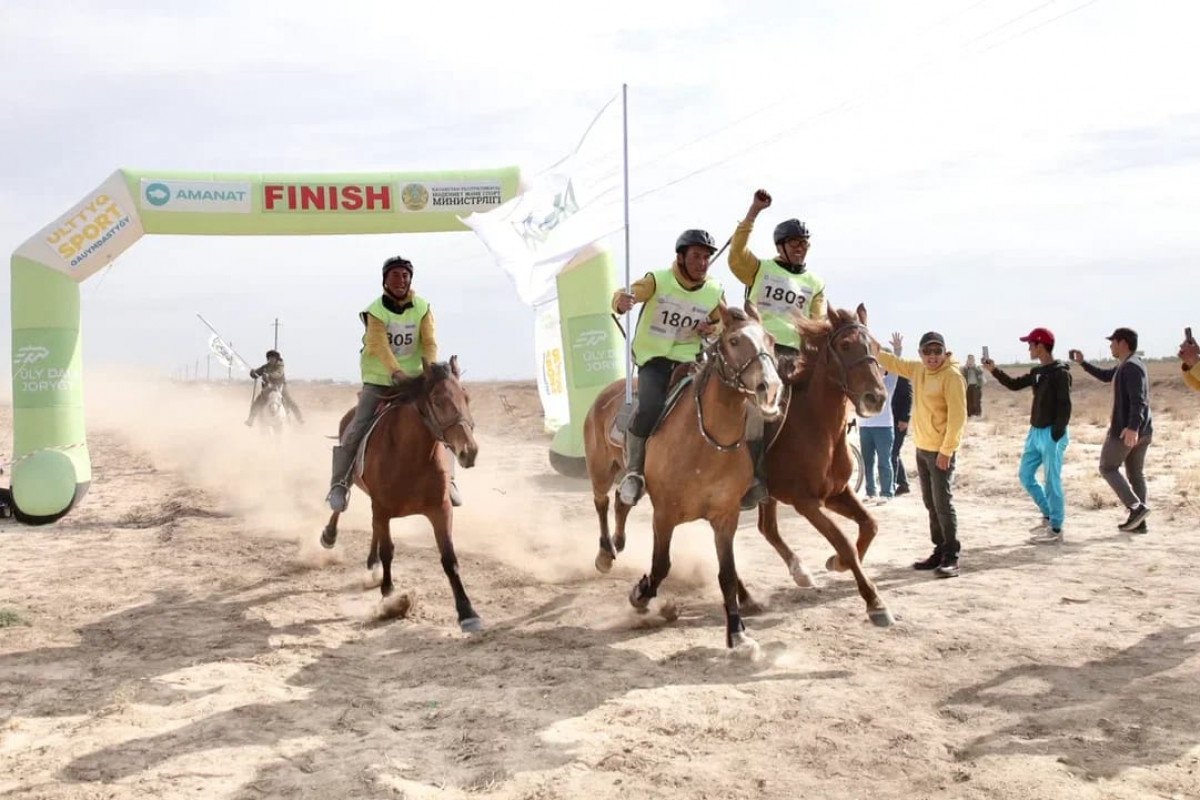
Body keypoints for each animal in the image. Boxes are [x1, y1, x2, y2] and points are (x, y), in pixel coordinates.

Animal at [324, 357, 487, 633]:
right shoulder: (382, 507)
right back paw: (330, 534)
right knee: (341, 503)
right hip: (355, 481)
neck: (411, 456)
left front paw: (467, 613)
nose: (470, 451)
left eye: (466, 397)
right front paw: (389, 595)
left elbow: (449, 559)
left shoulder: (440, 510)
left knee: (374, 528)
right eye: (437, 400)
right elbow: (388, 550)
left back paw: (372, 564)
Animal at [583, 304, 787, 652]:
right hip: (599, 469)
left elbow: (727, 574)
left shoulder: (725, 516)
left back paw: (619, 542)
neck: (707, 438)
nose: (770, 388)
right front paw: (640, 596)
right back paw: (605, 553)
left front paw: (737, 632)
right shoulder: (664, 515)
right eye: (734, 341)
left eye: (771, 340)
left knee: (623, 500)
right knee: (601, 503)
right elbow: (660, 565)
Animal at [753, 304, 897, 623]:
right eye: (845, 345)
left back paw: (801, 573)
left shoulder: (837, 493)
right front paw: (875, 603)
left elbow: (870, 525)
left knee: (767, 528)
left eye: (876, 346)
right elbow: (844, 541)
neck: (818, 428)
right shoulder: (806, 502)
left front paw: (837, 563)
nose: (876, 398)